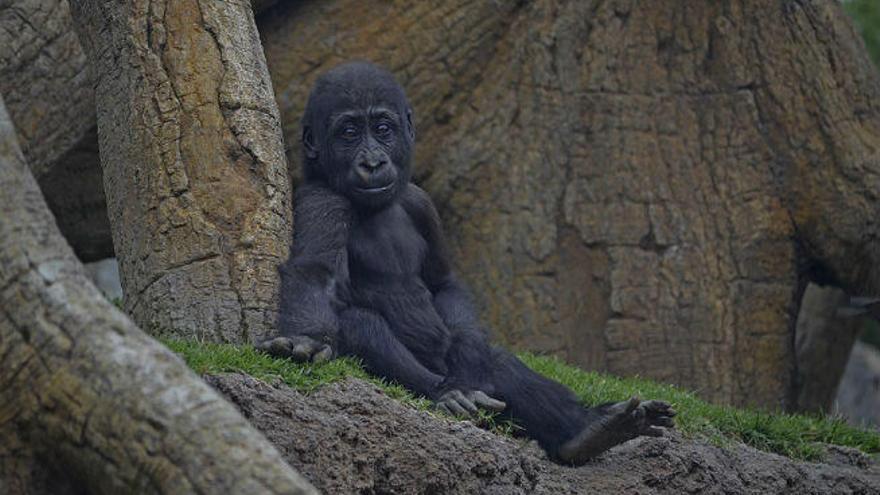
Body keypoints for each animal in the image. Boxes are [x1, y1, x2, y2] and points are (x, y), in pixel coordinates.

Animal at [262, 62, 672, 464]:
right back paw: (446, 393)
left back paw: (587, 430)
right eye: (348, 133)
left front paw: (470, 353)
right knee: (361, 325)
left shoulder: (421, 202)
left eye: (382, 129)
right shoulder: (323, 200)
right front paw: (307, 337)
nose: (373, 162)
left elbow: (444, 283)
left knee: (496, 363)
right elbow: (318, 274)